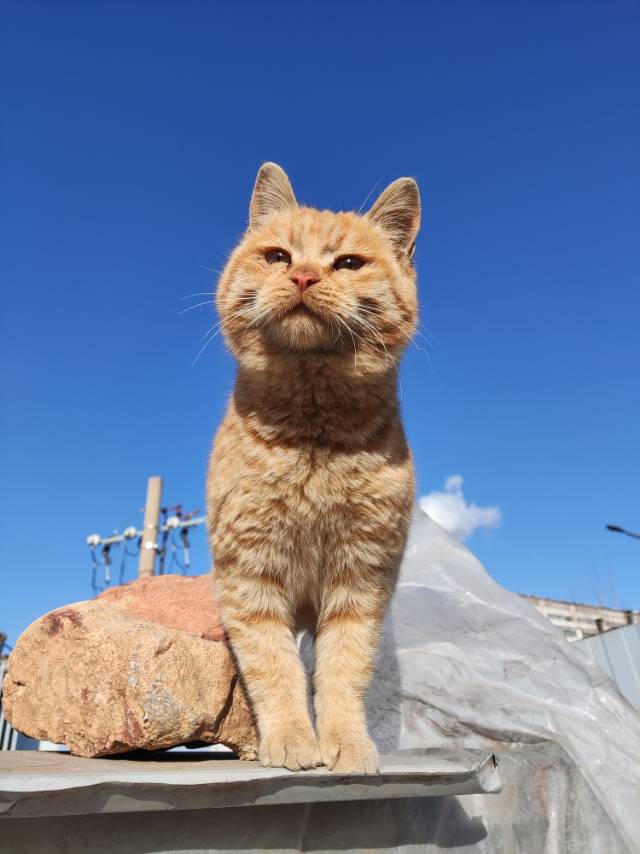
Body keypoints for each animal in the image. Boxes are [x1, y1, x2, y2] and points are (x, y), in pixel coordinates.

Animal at [208, 162, 420, 776]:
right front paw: (291, 740)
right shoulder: (250, 580)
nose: (302, 276)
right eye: (279, 256)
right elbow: (273, 667)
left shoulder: (361, 582)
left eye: (347, 263)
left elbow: (342, 673)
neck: (311, 437)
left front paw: (345, 743)